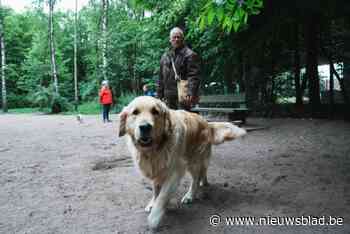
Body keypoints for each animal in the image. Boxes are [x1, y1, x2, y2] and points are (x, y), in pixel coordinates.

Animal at [117, 95, 246, 229]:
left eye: (155, 112)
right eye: (135, 112)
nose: (145, 127)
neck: (155, 150)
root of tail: (206, 123)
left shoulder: (175, 171)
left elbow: (163, 196)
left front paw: (154, 218)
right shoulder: (156, 170)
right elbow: (156, 191)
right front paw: (152, 203)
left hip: (193, 159)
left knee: (196, 178)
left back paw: (190, 195)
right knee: (203, 170)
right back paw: (204, 182)